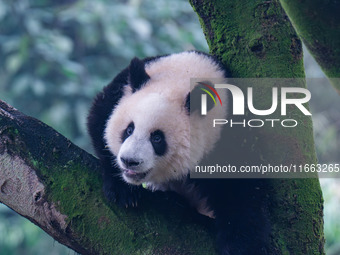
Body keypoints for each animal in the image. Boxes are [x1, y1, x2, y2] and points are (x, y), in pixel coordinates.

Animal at [87, 51, 270, 255]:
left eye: (157, 138)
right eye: (129, 129)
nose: (129, 161)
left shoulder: (230, 134)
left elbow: (242, 189)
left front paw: (239, 245)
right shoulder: (119, 90)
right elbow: (98, 120)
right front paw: (123, 192)